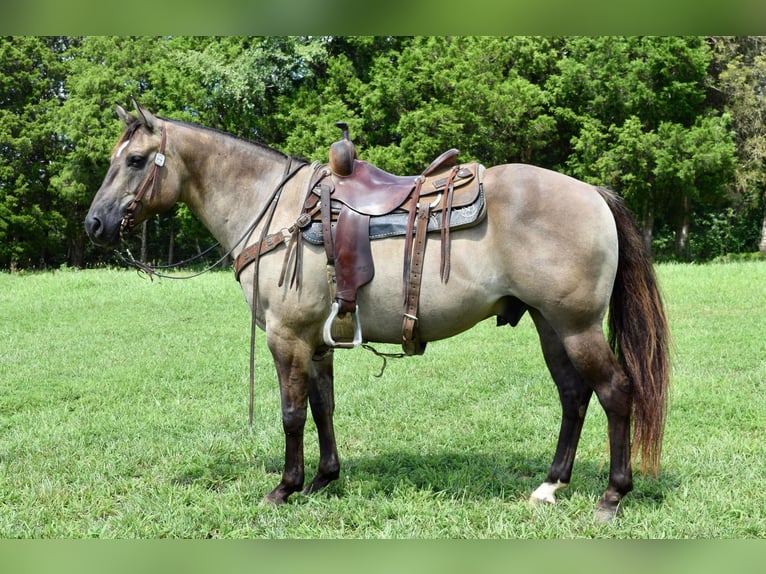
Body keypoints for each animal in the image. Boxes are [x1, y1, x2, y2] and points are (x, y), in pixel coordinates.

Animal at [85, 100, 672, 520]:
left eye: (135, 161)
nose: (94, 224)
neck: (273, 208)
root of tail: (592, 192)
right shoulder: (316, 342)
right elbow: (322, 407)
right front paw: (323, 479)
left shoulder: (286, 337)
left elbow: (291, 413)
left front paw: (284, 488)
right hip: (551, 325)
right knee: (574, 396)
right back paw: (551, 485)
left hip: (577, 327)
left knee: (615, 392)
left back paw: (612, 496)